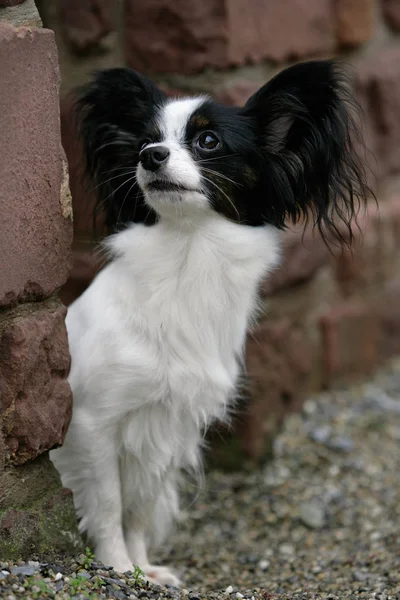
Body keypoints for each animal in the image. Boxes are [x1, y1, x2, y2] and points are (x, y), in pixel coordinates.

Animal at [50, 58, 372, 584]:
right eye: (144, 141)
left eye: (208, 141)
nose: (151, 157)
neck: (189, 251)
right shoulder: (95, 423)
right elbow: (109, 504)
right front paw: (119, 568)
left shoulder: (168, 423)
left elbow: (138, 508)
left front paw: (144, 571)